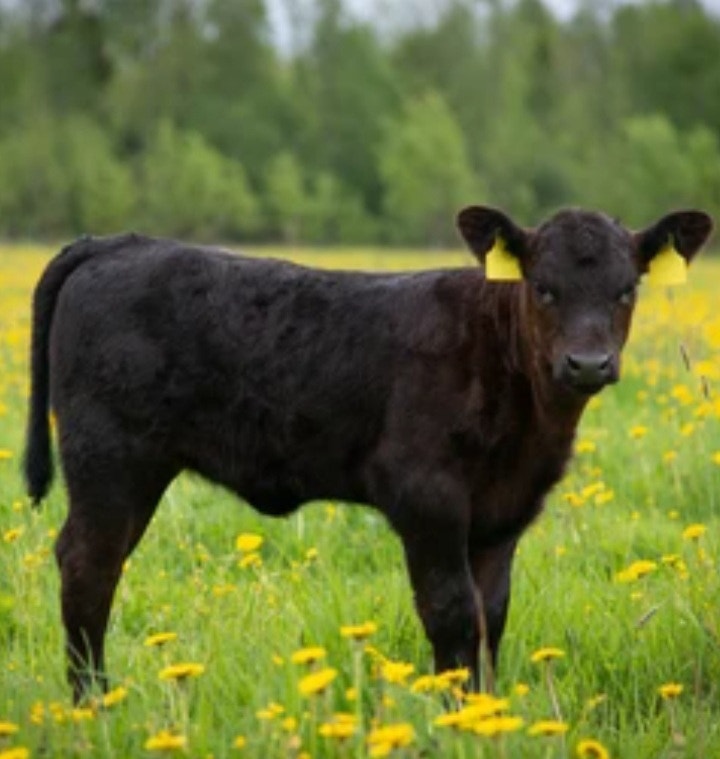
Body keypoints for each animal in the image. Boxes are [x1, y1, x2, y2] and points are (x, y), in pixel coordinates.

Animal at [24, 206, 712, 702]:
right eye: (543, 288)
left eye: (626, 290)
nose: (588, 363)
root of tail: (117, 242)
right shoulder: (427, 496)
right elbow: (452, 611)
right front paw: (455, 714)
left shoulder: (503, 512)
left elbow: (491, 614)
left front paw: (489, 712)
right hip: (110, 459)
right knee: (88, 566)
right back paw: (93, 704)